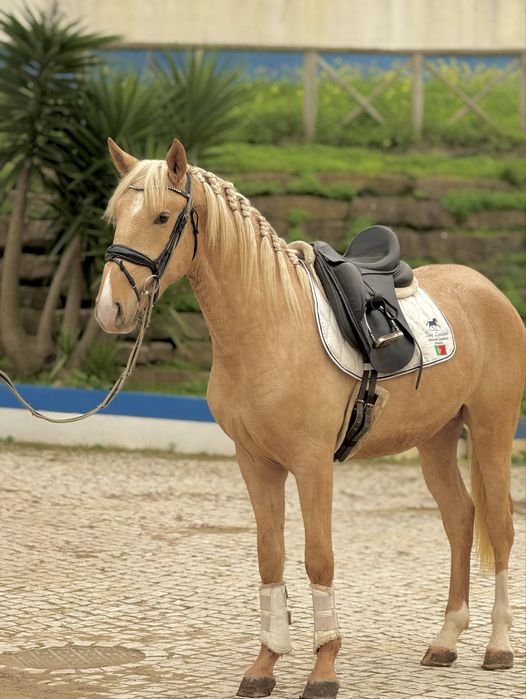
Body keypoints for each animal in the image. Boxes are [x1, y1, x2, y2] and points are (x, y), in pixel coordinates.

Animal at [95, 138, 525, 699]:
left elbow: (318, 556)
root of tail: (487, 289)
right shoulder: (256, 463)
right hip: (435, 439)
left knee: (499, 526)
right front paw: (264, 665)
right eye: (114, 218)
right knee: (460, 520)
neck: (271, 325)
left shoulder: (312, 464)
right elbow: (270, 557)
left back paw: (498, 646)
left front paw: (324, 669)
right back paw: (446, 640)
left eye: (162, 216)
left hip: (493, 431)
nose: (110, 309)